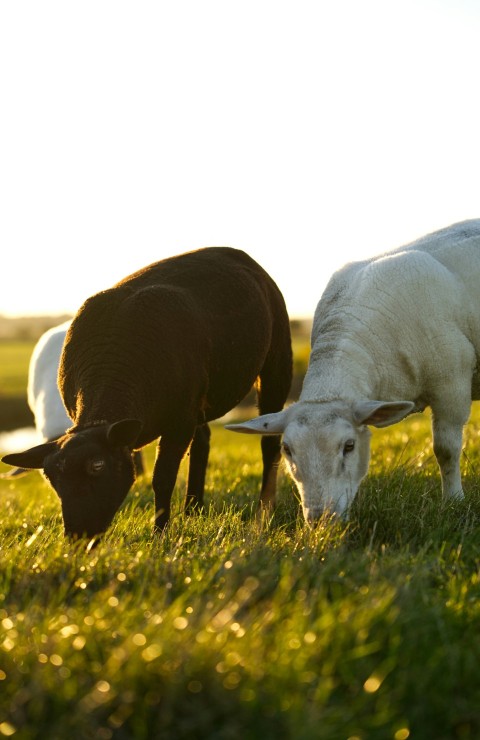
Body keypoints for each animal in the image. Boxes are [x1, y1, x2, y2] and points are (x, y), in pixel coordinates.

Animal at [1, 249, 292, 536]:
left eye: (97, 465)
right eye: (51, 478)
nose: (77, 537)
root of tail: (233, 252)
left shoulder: (179, 420)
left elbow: (162, 479)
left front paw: (159, 534)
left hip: (275, 362)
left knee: (268, 443)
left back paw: (264, 511)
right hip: (199, 397)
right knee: (203, 440)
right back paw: (193, 509)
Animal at [227, 218, 480, 520]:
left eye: (349, 446)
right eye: (287, 449)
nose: (320, 519)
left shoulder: (451, 384)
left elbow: (446, 450)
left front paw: (453, 502)